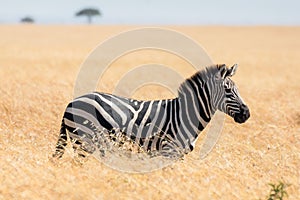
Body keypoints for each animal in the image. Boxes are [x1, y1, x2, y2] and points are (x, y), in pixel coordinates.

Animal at [52, 64, 250, 159]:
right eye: (228, 91)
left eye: (237, 89)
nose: (246, 114)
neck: (186, 115)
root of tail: (72, 102)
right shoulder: (169, 151)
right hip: (85, 141)